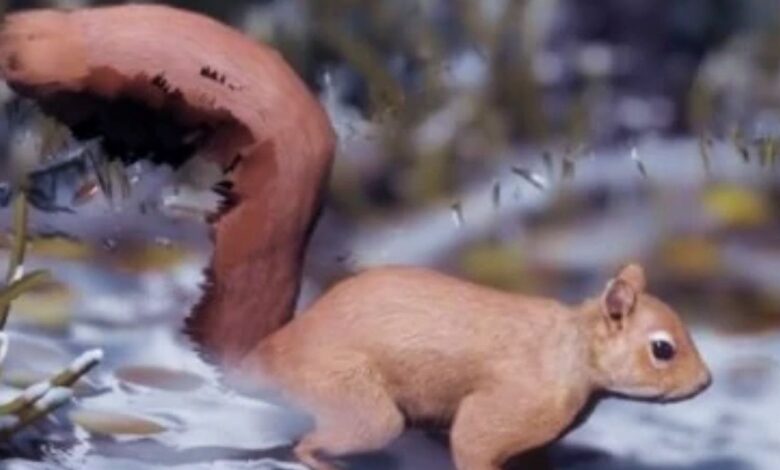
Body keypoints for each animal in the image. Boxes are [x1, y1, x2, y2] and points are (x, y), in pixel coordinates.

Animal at [235, 264, 712, 470]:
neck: (572, 352)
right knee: (305, 447)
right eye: (663, 349)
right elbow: (474, 445)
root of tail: (265, 356)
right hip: (368, 415)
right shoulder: (503, 411)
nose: (706, 382)